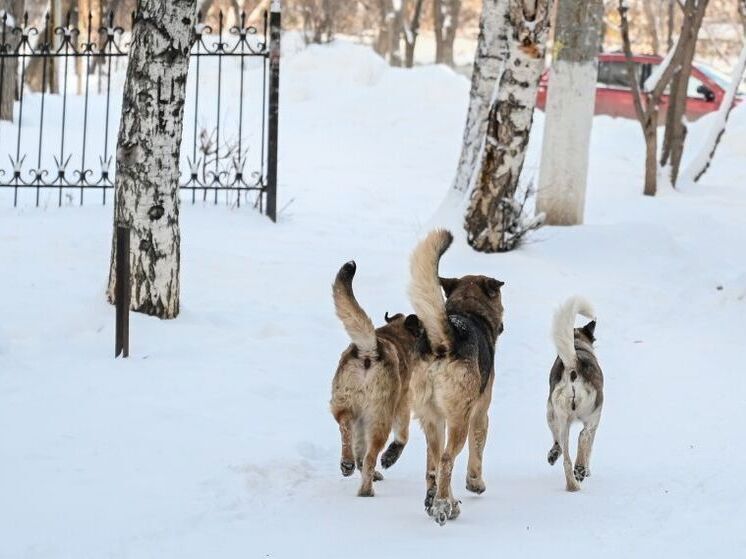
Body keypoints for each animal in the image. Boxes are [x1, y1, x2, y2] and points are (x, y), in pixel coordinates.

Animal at [328, 260, 422, 496]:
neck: (394, 334)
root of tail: (369, 350)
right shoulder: (403, 401)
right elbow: (403, 436)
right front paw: (390, 457)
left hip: (345, 403)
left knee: (346, 431)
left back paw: (347, 464)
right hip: (380, 416)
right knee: (371, 456)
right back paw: (366, 490)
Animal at [406, 229, 506, 524]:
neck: (467, 311)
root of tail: (442, 341)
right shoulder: (480, 413)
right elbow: (477, 451)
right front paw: (475, 483)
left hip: (431, 419)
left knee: (435, 464)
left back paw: (437, 502)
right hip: (458, 419)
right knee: (447, 460)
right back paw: (442, 505)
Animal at [544, 296, 600, 492]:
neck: (578, 344)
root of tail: (573, 365)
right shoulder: (596, 421)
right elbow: (589, 446)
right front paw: (587, 470)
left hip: (556, 416)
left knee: (565, 457)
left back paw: (571, 483)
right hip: (591, 415)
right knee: (583, 436)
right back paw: (581, 470)